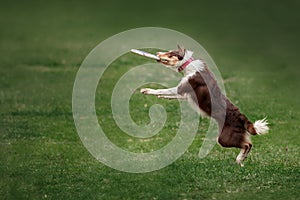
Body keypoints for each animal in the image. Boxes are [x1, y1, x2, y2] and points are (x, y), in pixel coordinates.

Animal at [141, 45, 270, 166]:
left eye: (170, 53)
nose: (157, 53)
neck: (187, 65)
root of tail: (242, 117)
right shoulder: (185, 95)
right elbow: (168, 94)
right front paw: (161, 96)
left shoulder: (181, 89)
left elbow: (162, 90)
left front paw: (147, 90)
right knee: (249, 144)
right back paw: (241, 160)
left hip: (224, 138)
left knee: (247, 144)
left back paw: (239, 159)